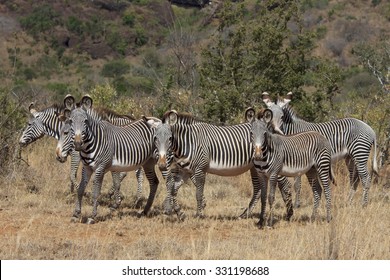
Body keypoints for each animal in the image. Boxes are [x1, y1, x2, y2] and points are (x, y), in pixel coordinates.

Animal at [54, 95, 158, 224]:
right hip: (148, 162)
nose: (58, 155)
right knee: (154, 182)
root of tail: (156, 119)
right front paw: (76, 214)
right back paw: (145, 209)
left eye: (86, 121)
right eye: (70, 123)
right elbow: (81, 189)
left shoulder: (101, 167)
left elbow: (97, 191)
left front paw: (93, 216)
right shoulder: (87, 168)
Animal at [145, 109, 294, 221]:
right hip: (255, 166)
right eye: (155, 139)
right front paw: (180, 214)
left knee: (285, 184)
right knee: (258, 189)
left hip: (269, 164)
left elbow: (198, 193)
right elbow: (173, 190)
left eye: (170, 138)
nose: (162, 165)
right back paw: (245, 214)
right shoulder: (185, 171)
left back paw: (289, 214)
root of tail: (270, 128)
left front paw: (199, 215)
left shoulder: (200, 169)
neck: (189, 142)